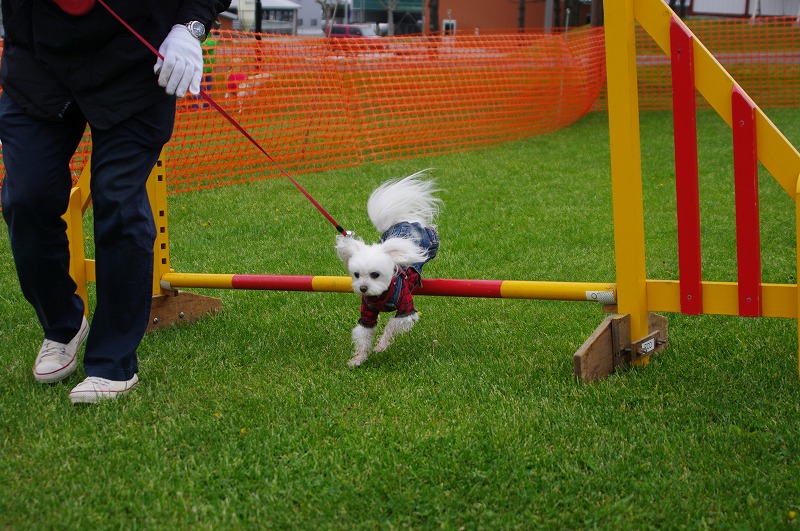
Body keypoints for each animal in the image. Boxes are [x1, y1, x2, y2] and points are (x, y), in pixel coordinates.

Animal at [335, 170, 442, 367]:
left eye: (375, 275)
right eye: (356, 275)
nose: (363, 288)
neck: (380, 296)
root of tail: (403, 222)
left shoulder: (406, 309)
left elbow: (392, 326)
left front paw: (381, 345)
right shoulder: (367, 314)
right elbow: (363, 335)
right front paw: (358, 359)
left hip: (431, 240)